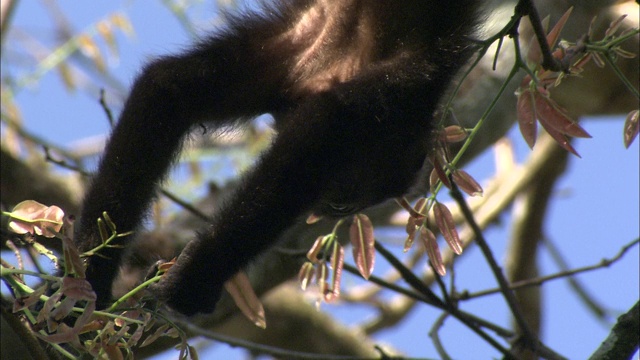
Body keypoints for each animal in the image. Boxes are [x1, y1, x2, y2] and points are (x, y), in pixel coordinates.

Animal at [74, 0, 480, 316]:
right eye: (347, 205)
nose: (334, 208)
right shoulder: (402, 94)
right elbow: (325, 123)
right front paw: (196, 277)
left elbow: (167, 88)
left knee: (169, 88)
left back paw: (85, 284)